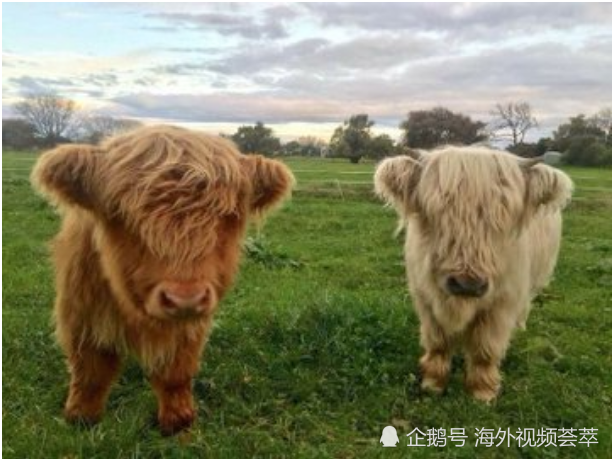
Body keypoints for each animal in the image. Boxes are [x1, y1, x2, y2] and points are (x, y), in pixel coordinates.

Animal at [31, 124, 296, 434]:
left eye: (230, 215)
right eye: (119, 214)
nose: (185, 299)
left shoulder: (189, 327)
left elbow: (175, 373)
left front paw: (177, 422)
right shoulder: (83, 314)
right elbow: (90, 371)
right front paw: (81, 417)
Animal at [376, 146, 576, 402]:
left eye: (503, 216)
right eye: (436, 211)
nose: (466, 284)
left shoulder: (503, 302)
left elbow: (485, 348)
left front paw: (482, 392)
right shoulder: (425, 296)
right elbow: (437, 342)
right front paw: (433, 383)